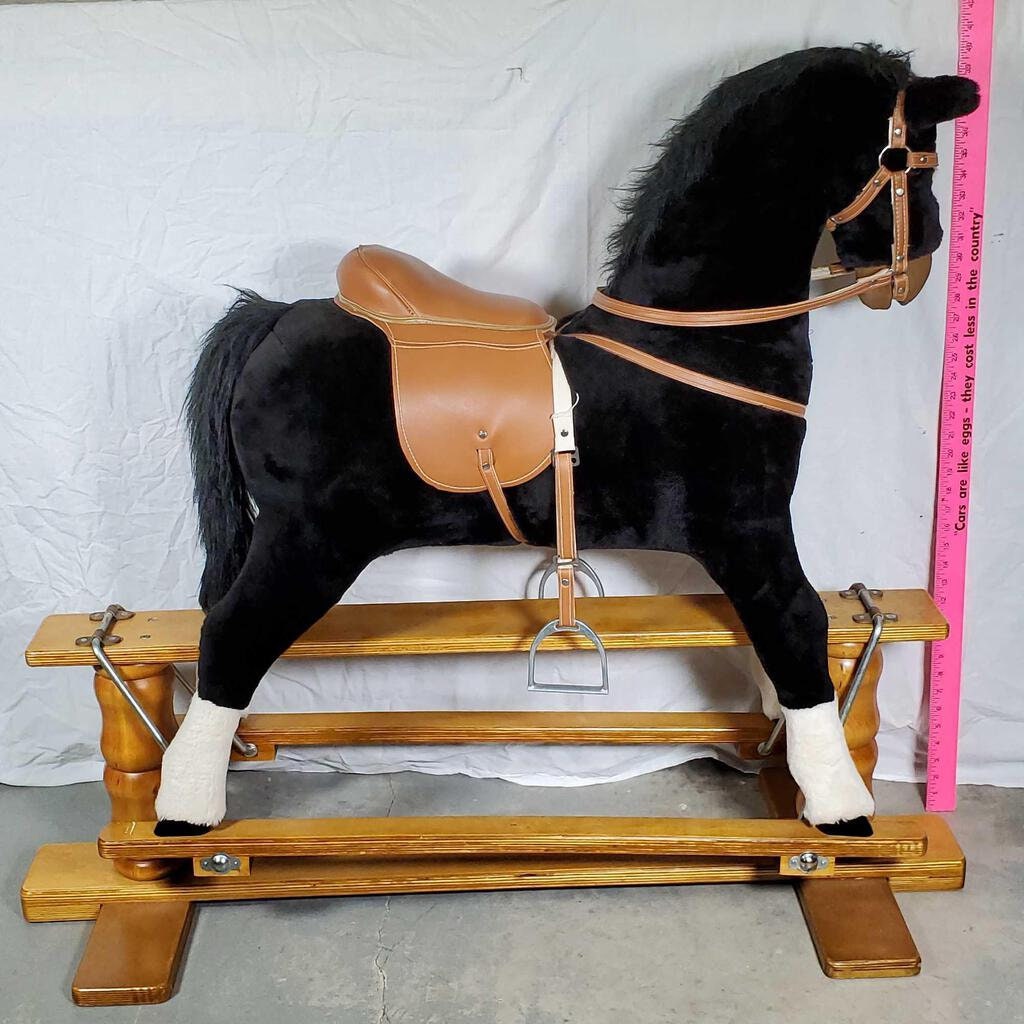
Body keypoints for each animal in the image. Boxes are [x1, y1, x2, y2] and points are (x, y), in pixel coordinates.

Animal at [153, 45, 979, 836]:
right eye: (912, 156)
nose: (928, 252)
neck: (695, 336)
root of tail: (275, 314)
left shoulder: (747, 536)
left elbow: (776, 642)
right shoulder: (750, 527)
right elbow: (797, 626)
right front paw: (839, 804)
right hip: (310, 540)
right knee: (229, 639)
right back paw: (185, 812)